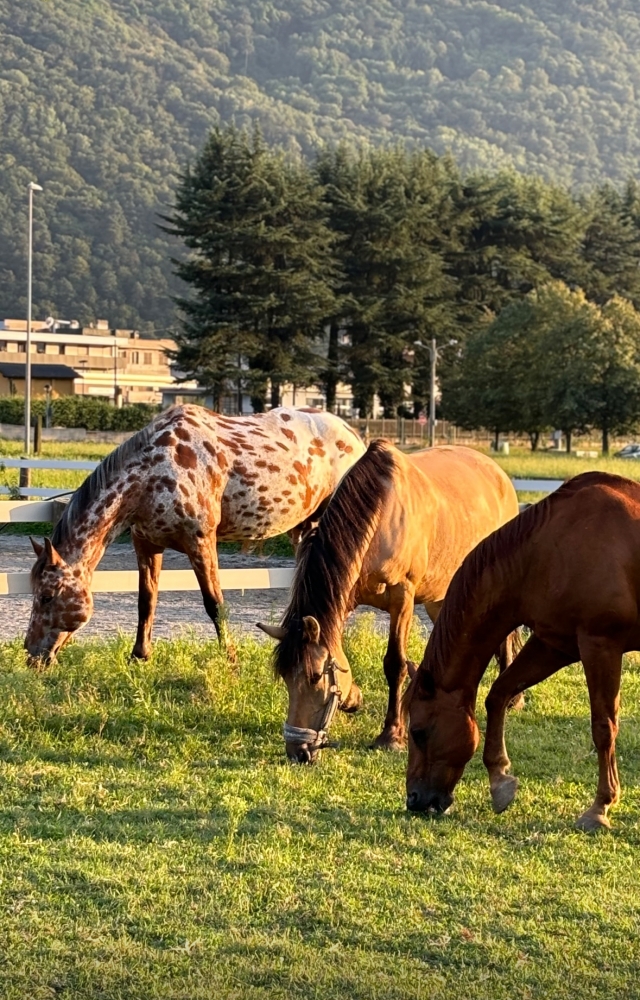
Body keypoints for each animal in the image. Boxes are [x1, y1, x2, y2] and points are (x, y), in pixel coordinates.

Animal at [25, 404, 365, 662]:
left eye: (46, 595)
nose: (31, 654)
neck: (153, 472)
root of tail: (355, 436)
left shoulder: (200, 542)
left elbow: (214, 604)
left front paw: (230, 659)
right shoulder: (146, 544)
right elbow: (146, 601)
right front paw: (139, 656)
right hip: (305, 529)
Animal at [257, 439, 521, 762]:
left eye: (316, 677)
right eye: (285, 677)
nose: (299, 751)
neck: (381, 516)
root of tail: (500, 475)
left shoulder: (402, 597)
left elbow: (395, 664)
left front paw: (391, 734)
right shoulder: (348, 599)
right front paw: (354, 697)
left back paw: (513, 699)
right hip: (441, 596)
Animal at [404, 470, 640, 832]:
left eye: (418, 732)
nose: (414, 799)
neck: (545, 550)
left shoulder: (600, 645)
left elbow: (603, 726)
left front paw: (600, 806)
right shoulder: (554, 644)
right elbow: (499, 694)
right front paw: (499, 780)